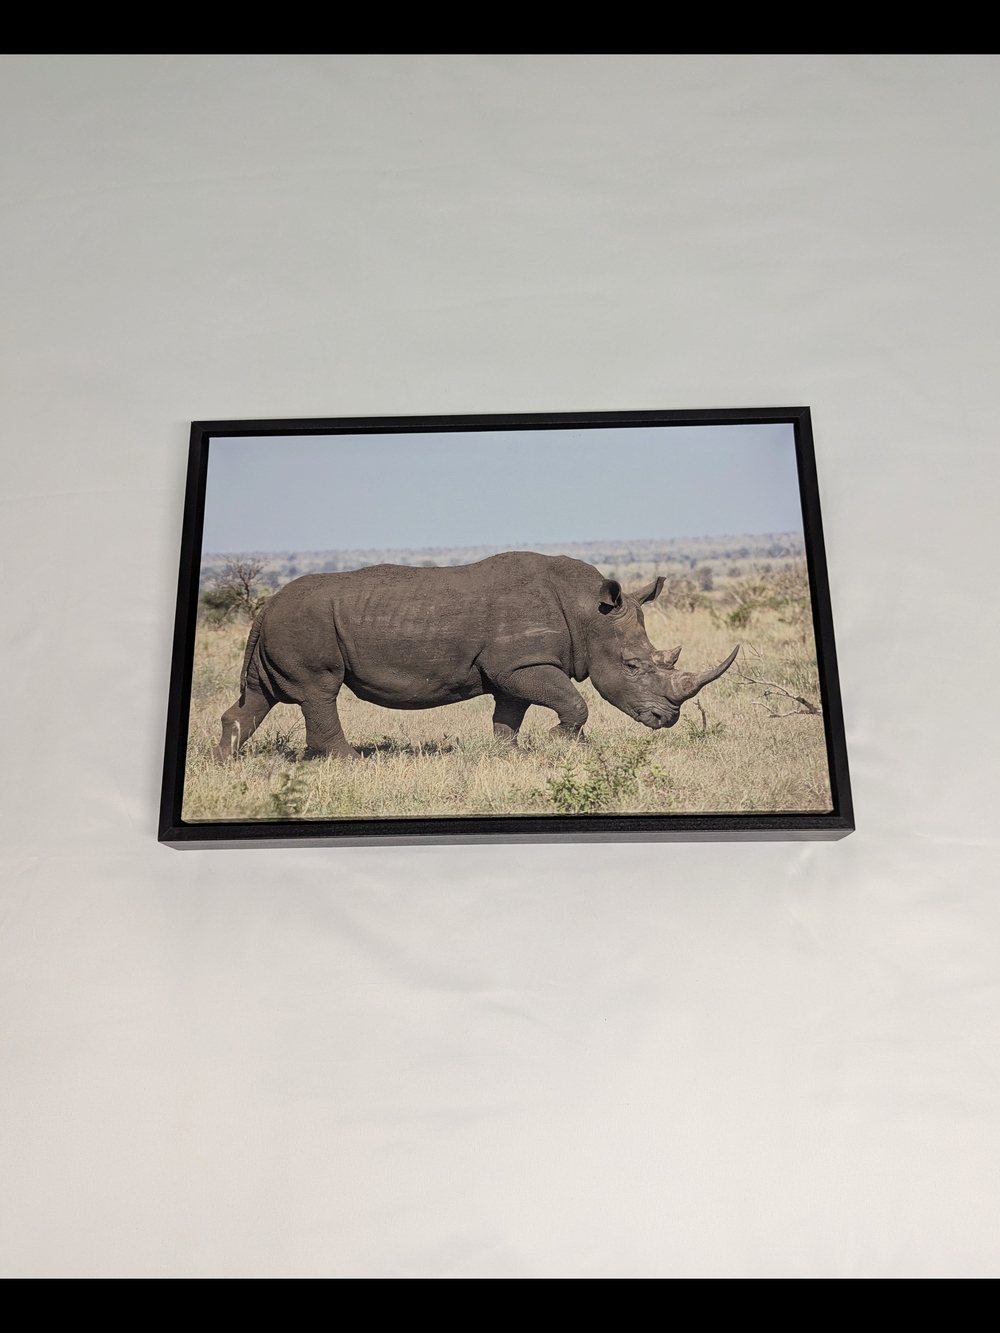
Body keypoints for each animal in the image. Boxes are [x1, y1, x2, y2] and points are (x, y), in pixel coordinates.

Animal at [213, 551, 738, 761]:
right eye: (632, 667)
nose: (667, 719)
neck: (589, 611)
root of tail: (265, 606)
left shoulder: (515, 665)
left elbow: (510, 712)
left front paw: (510, 753)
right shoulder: (522, 662)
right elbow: (574, 702)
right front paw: (565, 743)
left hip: (282, 627)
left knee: (259, 697)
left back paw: (225, 763)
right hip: (304, 624)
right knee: (319, 691)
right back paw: (349, 762)